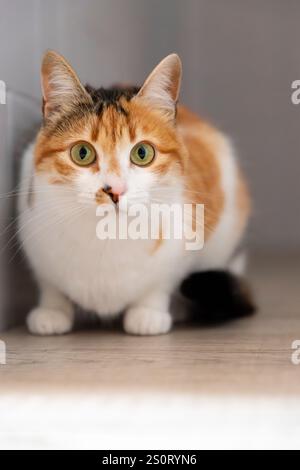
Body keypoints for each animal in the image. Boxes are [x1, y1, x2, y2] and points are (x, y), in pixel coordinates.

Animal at [18, 51, 253, 336]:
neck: (106, 238)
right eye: (82, 153)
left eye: (142, 153)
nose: (115, 190)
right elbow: (50, 285)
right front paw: (52, 311)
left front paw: (148, 314)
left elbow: (160, 285)